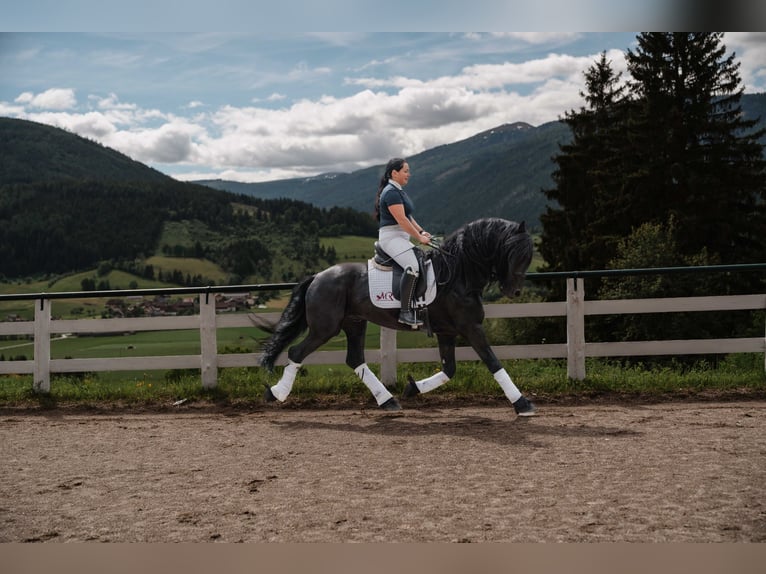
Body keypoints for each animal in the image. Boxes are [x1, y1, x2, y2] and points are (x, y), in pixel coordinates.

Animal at [260, 218, 536, 416]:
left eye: (528, 256)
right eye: (513, 252)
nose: (514, 291)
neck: (458, 275)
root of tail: (317, 276)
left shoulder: (447, 331)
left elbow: (449, 369)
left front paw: (412, 388)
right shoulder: (471, 327)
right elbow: (493, 362)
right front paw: (522, 404)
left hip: (354, 323)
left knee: (354, 359)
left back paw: (388, 401)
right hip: (325, 328)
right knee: (296, 352)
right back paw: (276, 393)